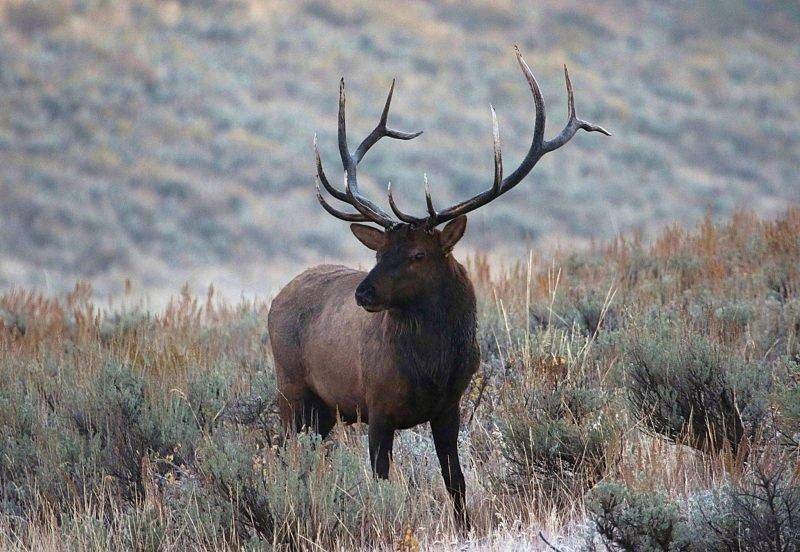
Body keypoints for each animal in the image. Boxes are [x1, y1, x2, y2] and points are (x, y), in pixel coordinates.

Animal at [266, 47, 608, 528]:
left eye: (417, 255)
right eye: (379, 253)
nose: (364, 294)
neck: (431, 368)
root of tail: (278, 297)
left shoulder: (450, 407)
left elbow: (456, 482)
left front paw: (466, 527)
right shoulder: (378, 407)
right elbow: (382, 483)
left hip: (326, 410)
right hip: (291, 388)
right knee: (286, 455)